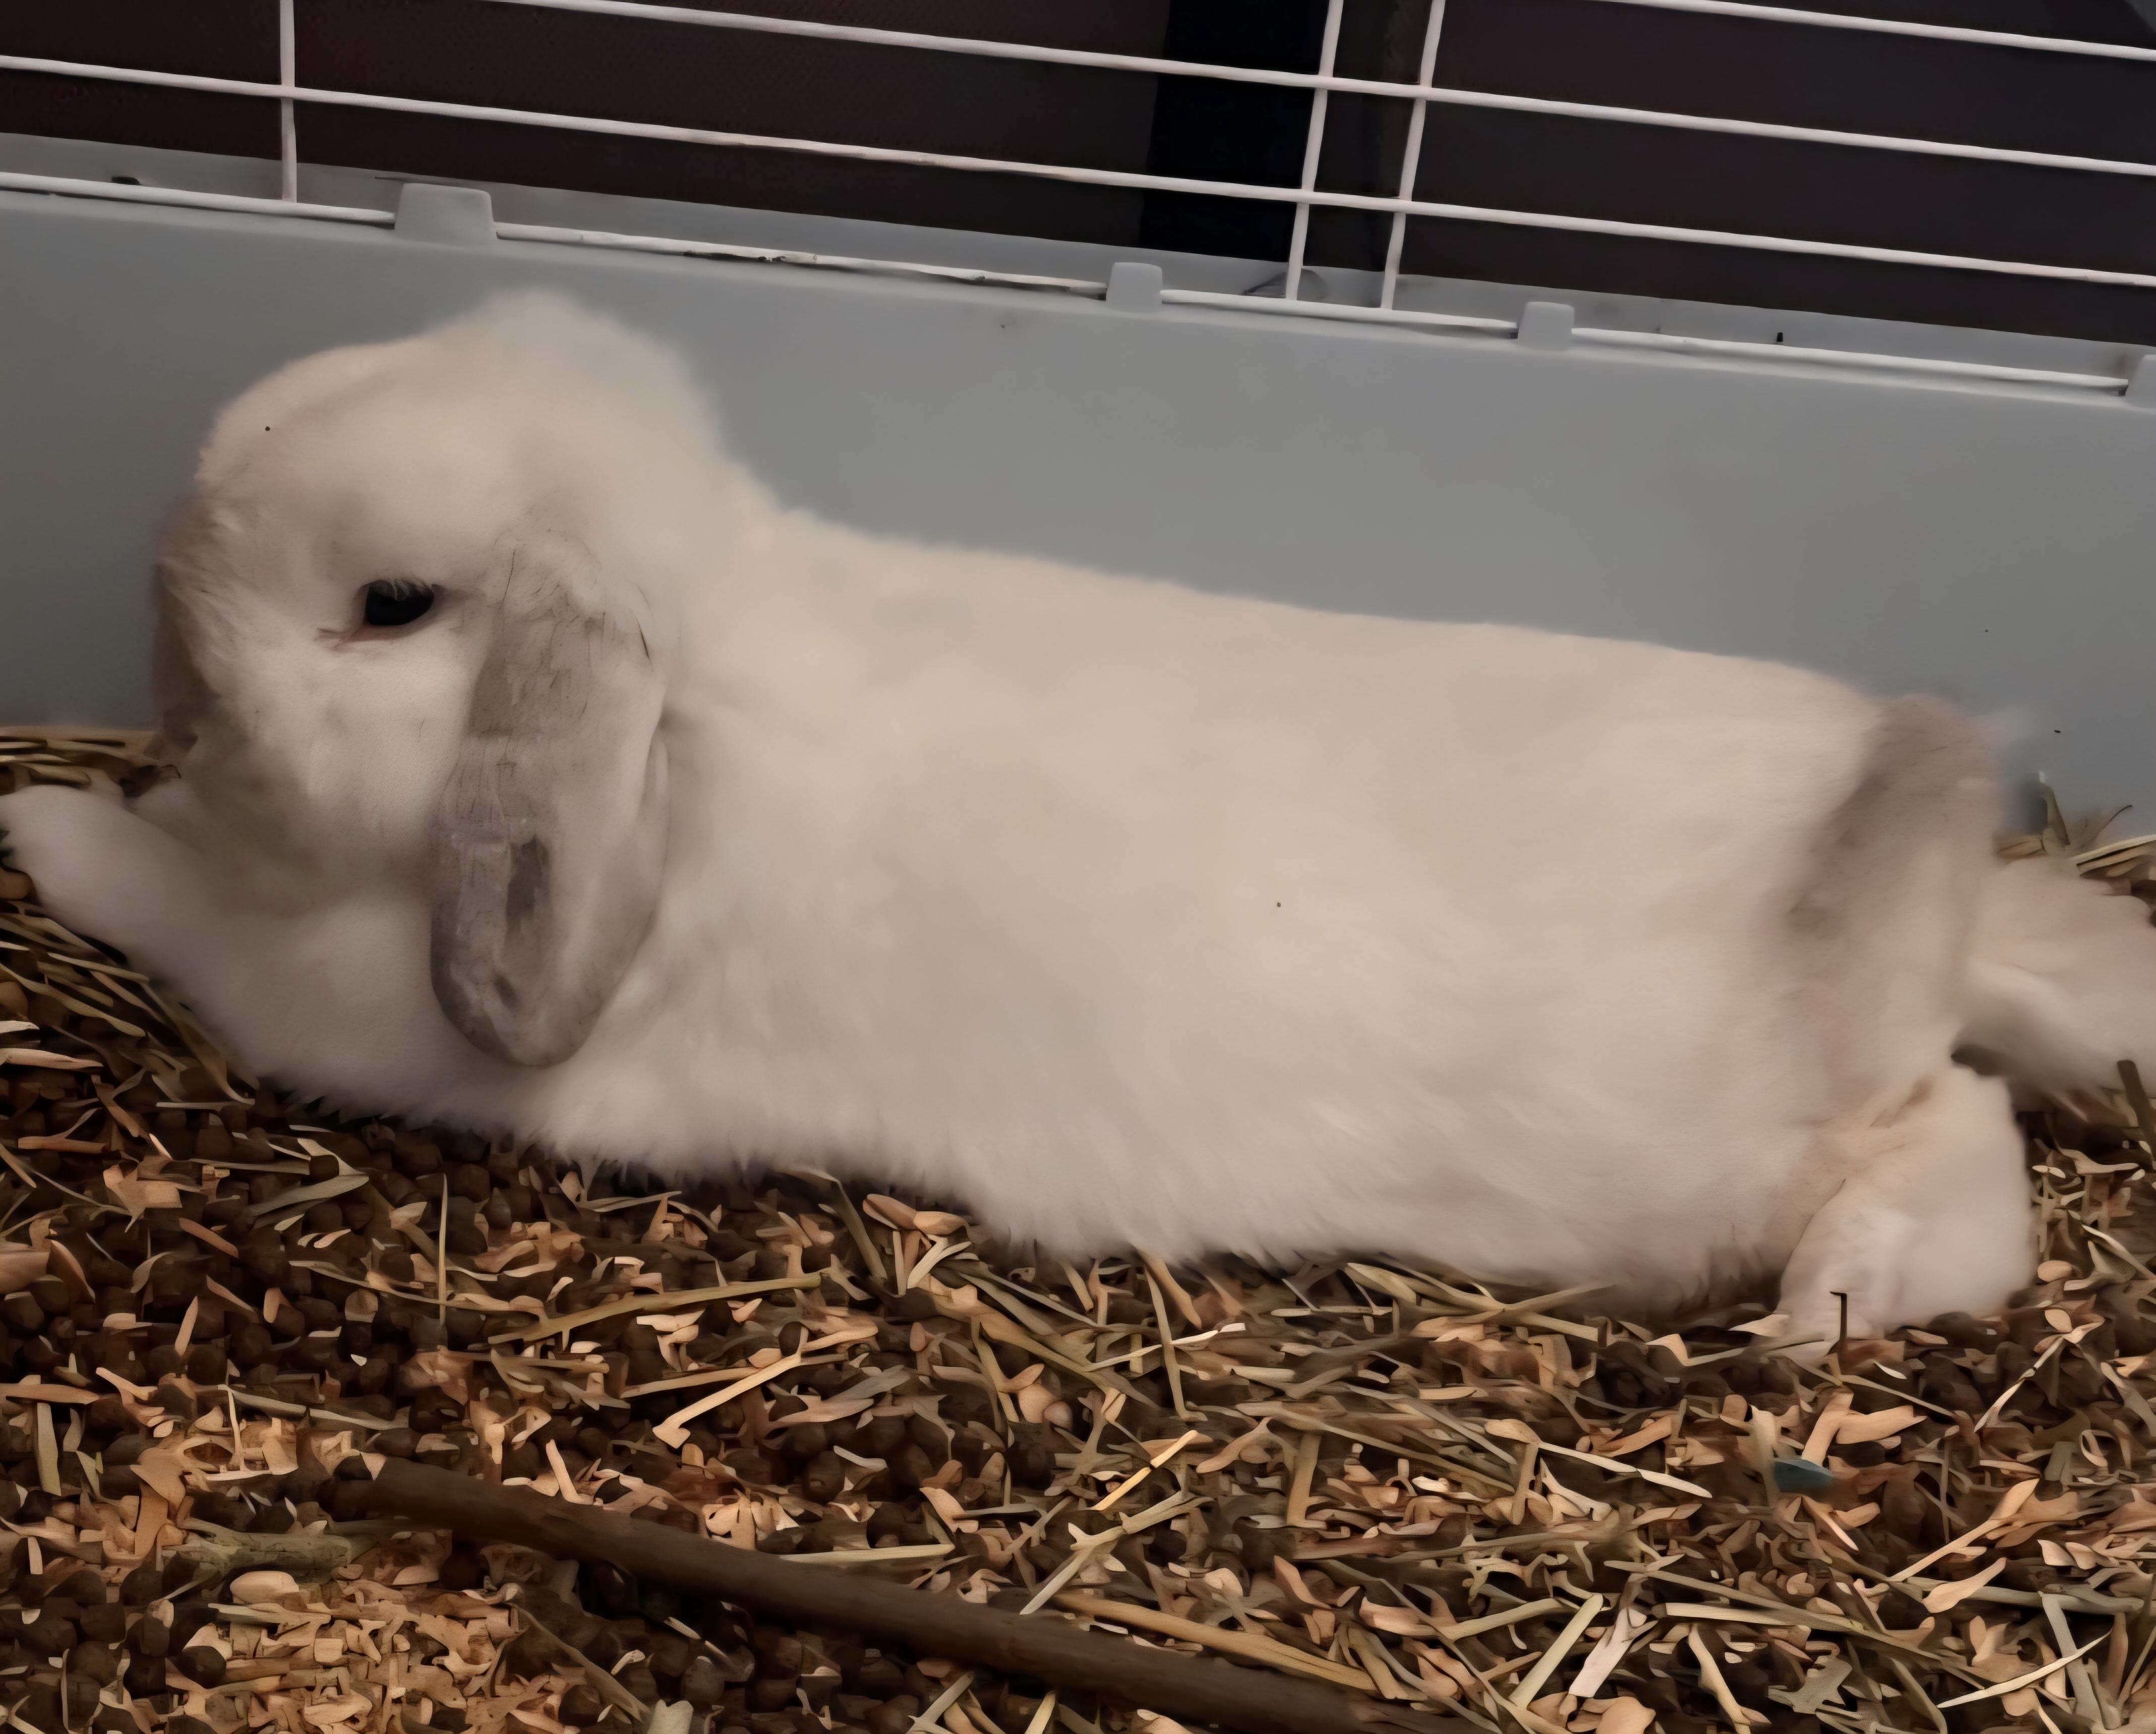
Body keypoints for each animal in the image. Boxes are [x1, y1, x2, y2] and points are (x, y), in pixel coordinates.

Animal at [6, 289, 2153, 1349]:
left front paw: (47, 819)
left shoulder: (322, 1005)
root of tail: (1900, 871)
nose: (177, 691)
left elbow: (168, 906)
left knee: (1951, 1143)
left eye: (389, 605)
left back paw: (1824, 1307)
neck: (688, 707)